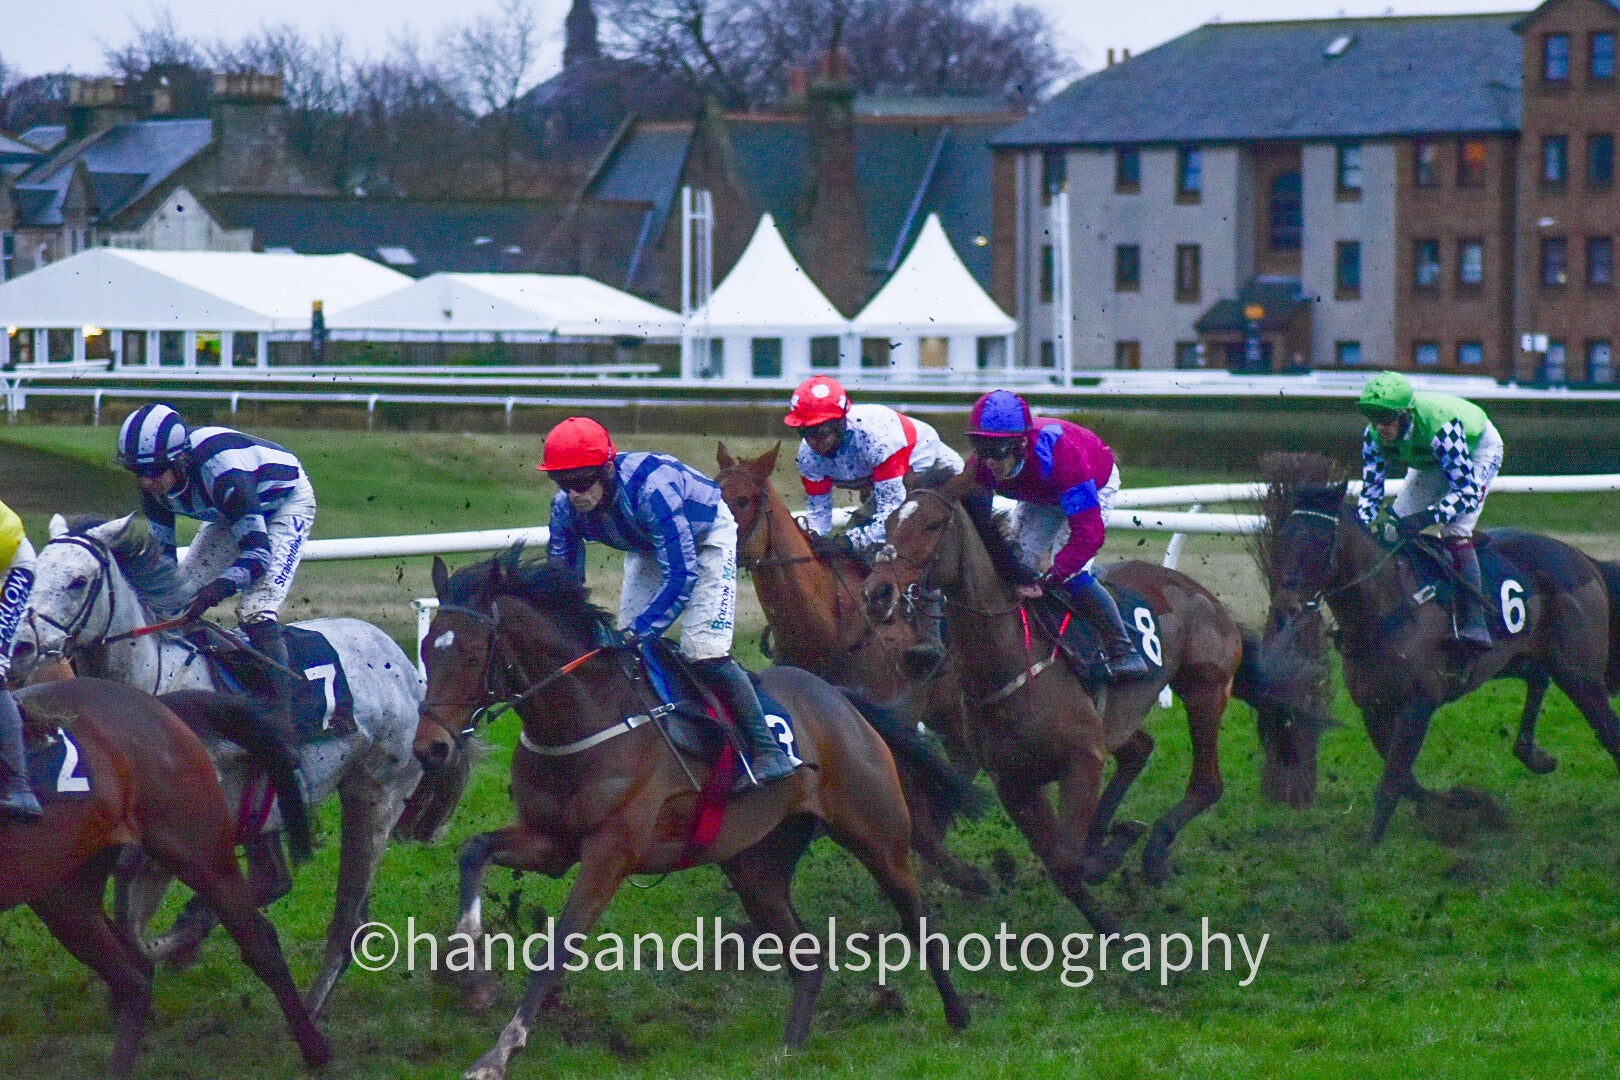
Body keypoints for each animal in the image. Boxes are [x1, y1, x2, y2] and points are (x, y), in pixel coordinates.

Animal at [0, 677, 330, 1077]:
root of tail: (159, 707)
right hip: (63, 892)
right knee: (136, 974)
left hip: (201, 855)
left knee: (254, 943)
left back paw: (315, 1050)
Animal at [12, 512, 424, 1016]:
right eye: (35, 575)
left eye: (78, 581)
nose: (21, 647)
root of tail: (401, 663)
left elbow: (134, 910)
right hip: (268, 809)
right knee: (275, 882)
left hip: (376, 795)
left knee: (347, 914)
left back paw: (307, 1006)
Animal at [411, 547, 968, 1080]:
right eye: (425, 649)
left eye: (470, 652)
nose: (431, 748)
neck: (584, 718)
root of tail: (840, 698)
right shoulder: (552, 842)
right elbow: (473, 851)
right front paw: (468, 970)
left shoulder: (610, 854)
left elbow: (558, 949)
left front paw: (498, 1053)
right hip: (753, 868)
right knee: (808, 959)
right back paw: (789, 1049)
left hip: (877, 833)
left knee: (917, 918)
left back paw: (958, 1015)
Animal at [860, 470, 1308, 918]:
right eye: (888, 523)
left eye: (933, 525)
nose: (876, 593)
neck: (1014, 658)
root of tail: (1205, 595)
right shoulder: (1013, 778)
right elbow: (1055, 858)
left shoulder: (1083, 759)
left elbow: (1068, 861)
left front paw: (1108, 856)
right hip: (1123, 715)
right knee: (1139, 748)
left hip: (1205, 689)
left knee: (1206, 784)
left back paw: (1153, 854)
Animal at [1255, 452, 1620, 842]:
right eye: (1282, 540)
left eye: (1322, 544)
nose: (1286, 608)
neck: (1386, 604)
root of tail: (1582, 558)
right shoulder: (1375, 705)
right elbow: (1406, 781)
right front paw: (1465, 806)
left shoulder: (1419, 703)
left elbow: (1393, 781)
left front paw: (1369, 845)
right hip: (1518, 656)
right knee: (1538, 679)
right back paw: (1534, 756)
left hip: (1579, 672)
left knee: (1607, 728)